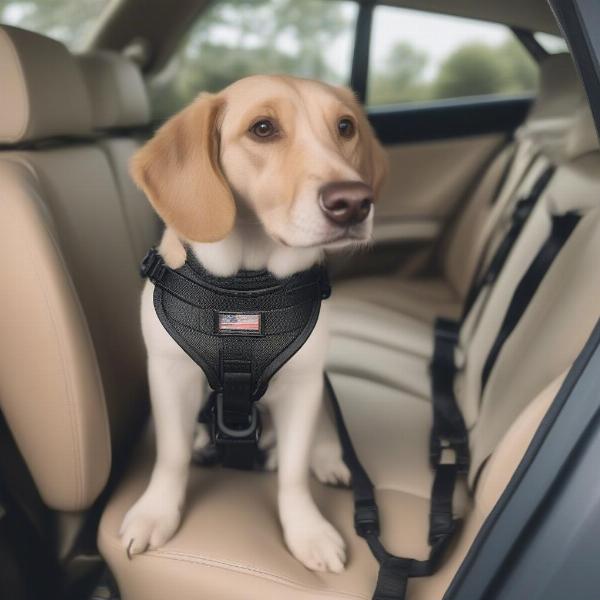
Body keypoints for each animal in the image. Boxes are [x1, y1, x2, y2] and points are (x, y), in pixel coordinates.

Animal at [119, 75, 386, 572]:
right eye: (263, 128)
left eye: (345, 127)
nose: (354, 202)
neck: (246, 284)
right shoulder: (169, 376)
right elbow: (171, 455)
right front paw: (155, 512)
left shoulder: (303, 385)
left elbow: (295, 474)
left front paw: (307, 530)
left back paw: (328, 457)